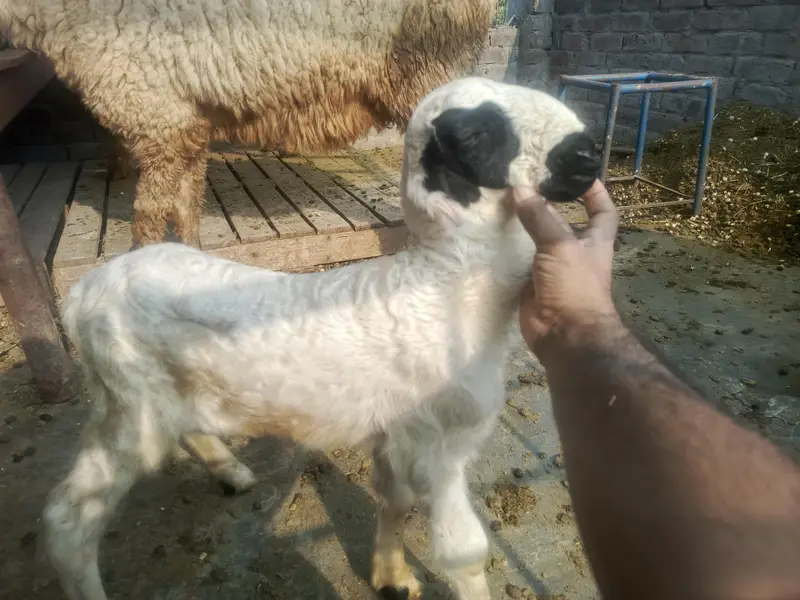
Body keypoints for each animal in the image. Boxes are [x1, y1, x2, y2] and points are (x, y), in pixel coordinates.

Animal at [41, 76, 601, 600]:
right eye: (473, 134)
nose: (588, 152)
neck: (448, 282)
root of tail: (86, 290)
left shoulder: (398, 434)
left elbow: (394, 499)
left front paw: (391, 578)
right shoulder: (438, 442)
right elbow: (462, 552)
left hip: (156, 393)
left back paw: (233, 473)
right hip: (130, 401)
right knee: (67, 522)